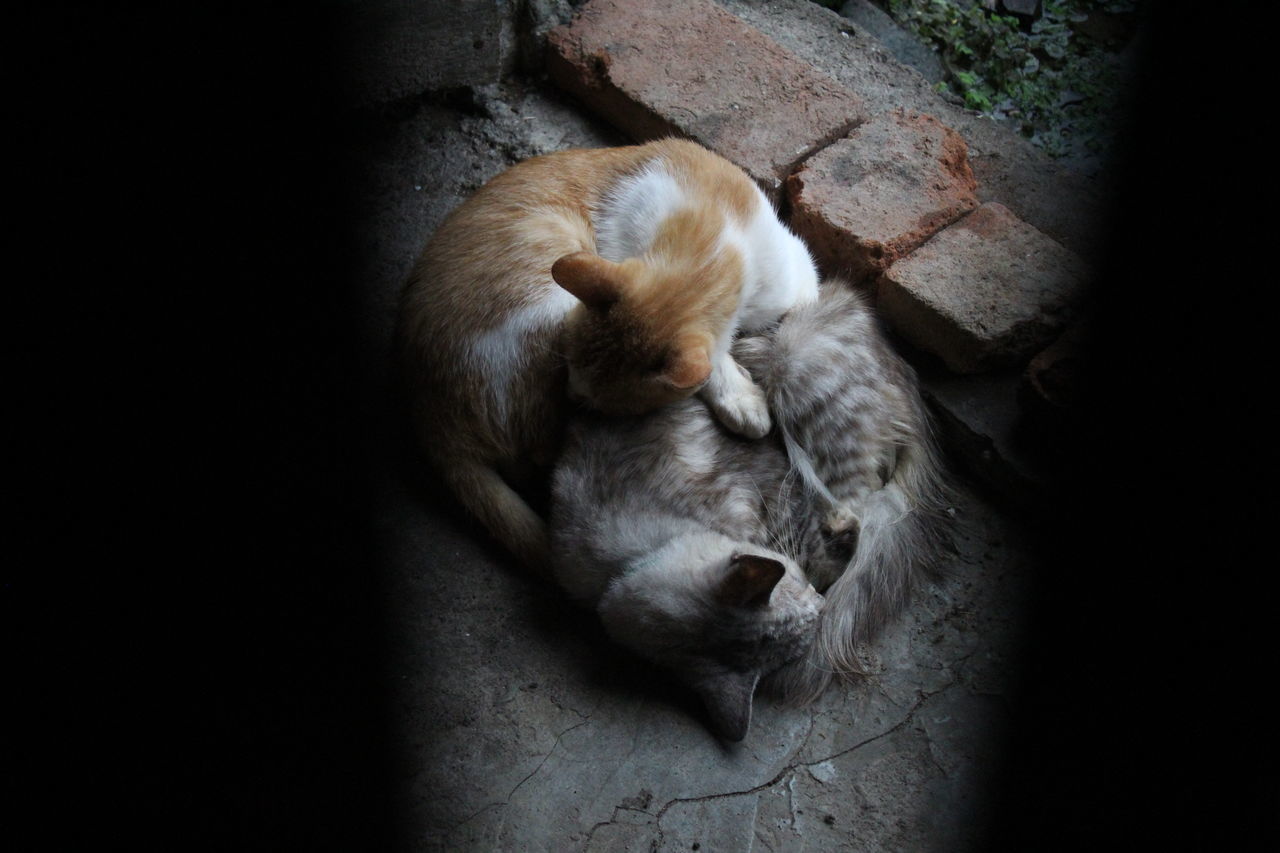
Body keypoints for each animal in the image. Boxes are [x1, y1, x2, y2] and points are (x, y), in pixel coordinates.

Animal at [399, 137, 819, 571]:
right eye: (575, 385)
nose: (572, 397)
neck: (708, 227)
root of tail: (428, 414)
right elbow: (713, 359)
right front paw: (741, 397)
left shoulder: (799, 279)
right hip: (548, 301)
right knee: (537, 456)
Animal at [550, 279, 952, 737]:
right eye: (798, 591)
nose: (820, 603)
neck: (630, 558)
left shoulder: (768, 482)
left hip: (796, 374)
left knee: (858, 511)